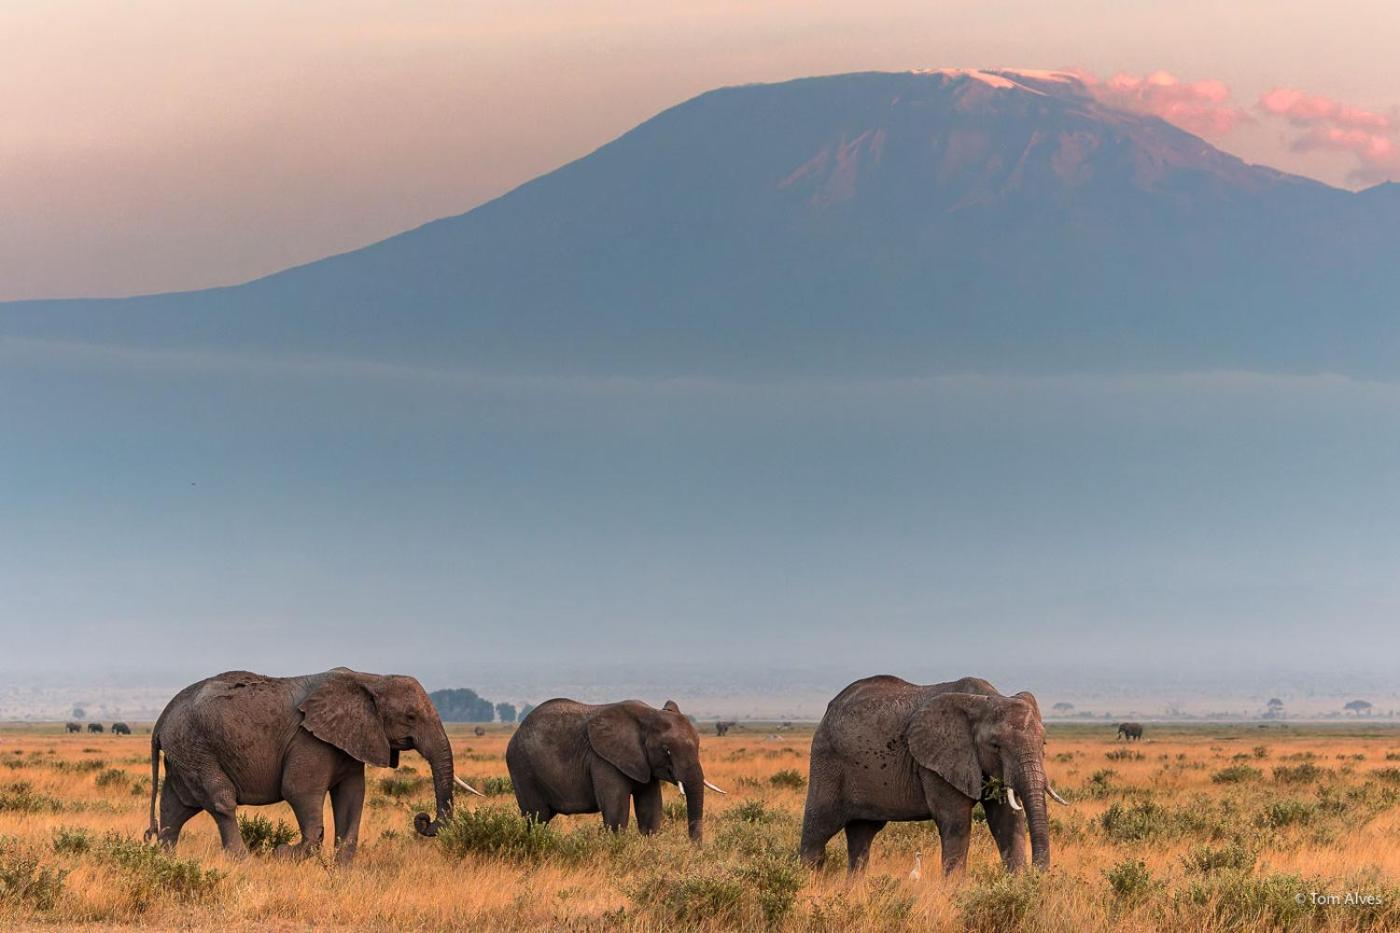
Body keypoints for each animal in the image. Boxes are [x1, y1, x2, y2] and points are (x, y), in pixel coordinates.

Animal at [142, 664, 481, 862]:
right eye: (410, 717)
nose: (422, 819)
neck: (370, 679)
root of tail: (161, 719)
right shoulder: (309, 740)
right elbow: (299, 791)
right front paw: (282, 854)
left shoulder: (351, 742)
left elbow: (352, 796)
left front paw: (342, 871)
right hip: (196, 748)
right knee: (221, 800)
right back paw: (244, 861)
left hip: (185, 753)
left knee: (175, 806)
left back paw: (165, 861)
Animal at [506, 694, 728, 840]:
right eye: (666, 750)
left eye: (698, 744)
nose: (695, 848)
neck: (648, 714)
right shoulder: (604, 760)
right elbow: (616, 812)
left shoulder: (643, 763)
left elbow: (651, 810)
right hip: (523, 769)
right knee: (536, 816)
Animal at [800, 672, 1069, 874]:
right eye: (995, 746)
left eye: (1044, 744)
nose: (1040, 872)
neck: (986, 699)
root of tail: (829, 709)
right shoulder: (935, 763)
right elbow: (956, 821)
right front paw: (954, 892)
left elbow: (1007, 820)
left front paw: (1018, 883)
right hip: (827, 761)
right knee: (818, 830)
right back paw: (807, 884)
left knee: (861, 835)